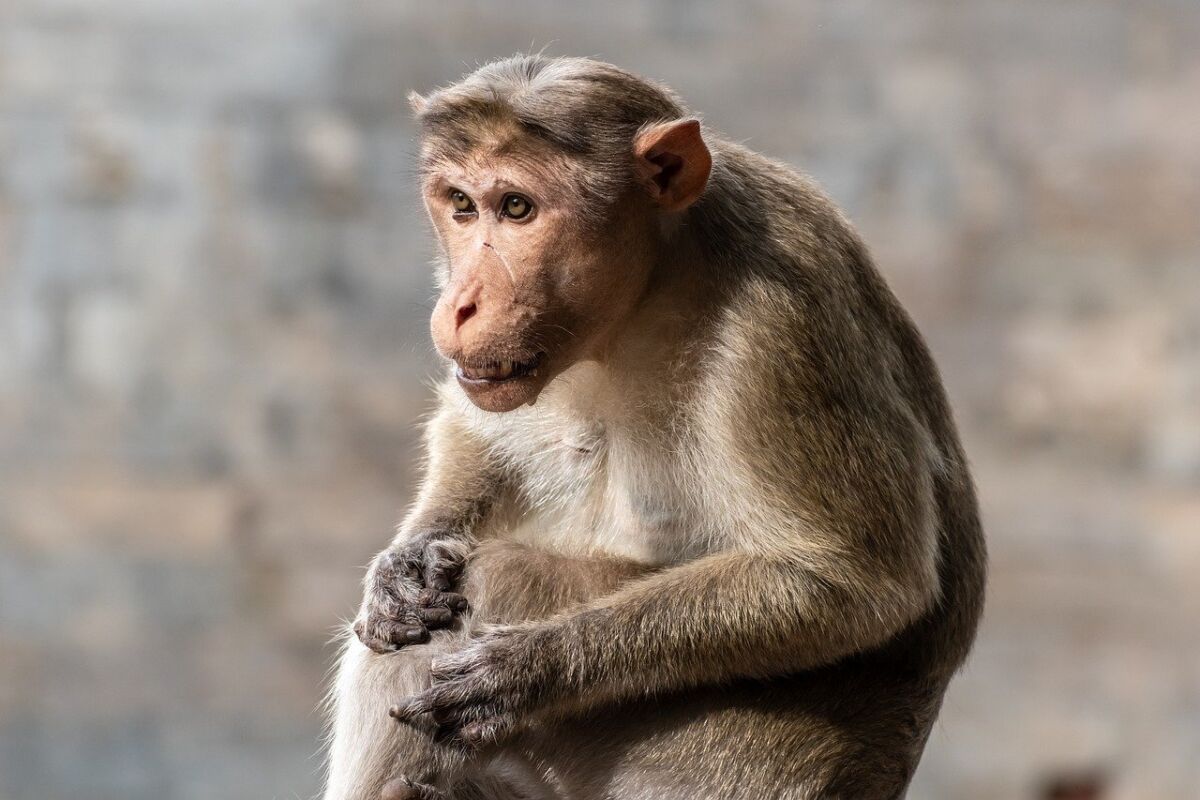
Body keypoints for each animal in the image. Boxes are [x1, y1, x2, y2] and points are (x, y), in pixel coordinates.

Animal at [323, 54, 986, 800]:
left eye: (517, 207)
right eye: (461, 205)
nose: (459, 303)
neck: (652, 285)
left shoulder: (785, 322)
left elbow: (859, 581)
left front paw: (528, 670)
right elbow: (478, 435)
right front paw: (404, 564)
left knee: (492, 578)